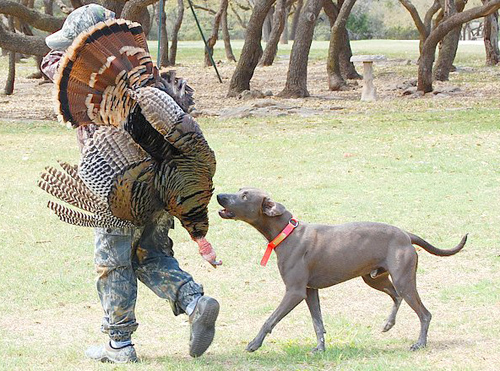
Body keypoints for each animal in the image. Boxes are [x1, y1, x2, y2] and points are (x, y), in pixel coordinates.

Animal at [217, 189, 466, 354]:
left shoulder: (295, 291)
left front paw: (254, 343)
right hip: (375, 278)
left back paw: (420, 343)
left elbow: (270, 320)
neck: (286, 232)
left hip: (403, 279)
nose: (219, 195)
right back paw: (388, 324)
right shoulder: (310, 291)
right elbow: (318, 323)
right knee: (396, 296)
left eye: (245, 195)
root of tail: (406, 234)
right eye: (239, 191)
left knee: (424, 313)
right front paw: (320, 348)